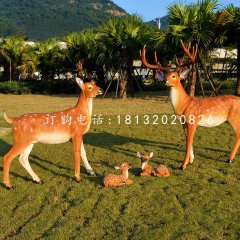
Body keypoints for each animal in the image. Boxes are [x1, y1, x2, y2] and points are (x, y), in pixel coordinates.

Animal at [142, 40, 240, 170]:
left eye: (174, 76)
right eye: (166, 75)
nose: (164, 80)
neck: (185, 105)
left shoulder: (193, 121)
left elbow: (189, 141)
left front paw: (183, 165)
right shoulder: (184, 123)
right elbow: (188, 141)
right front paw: (191, 160)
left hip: (234, 117)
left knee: (238, 135)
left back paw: (230, 159)